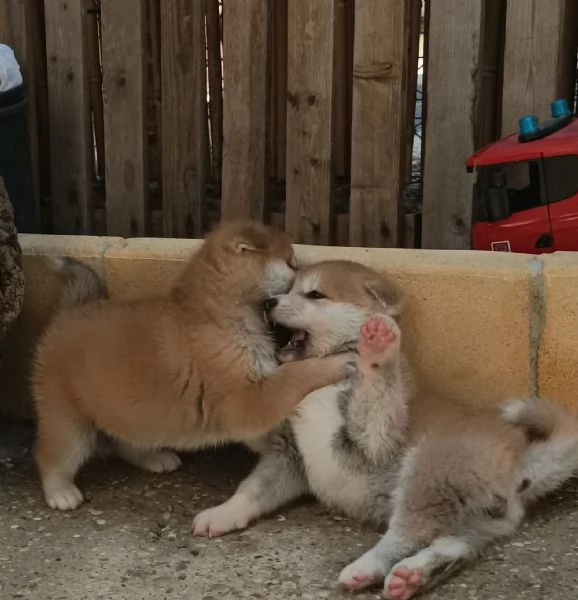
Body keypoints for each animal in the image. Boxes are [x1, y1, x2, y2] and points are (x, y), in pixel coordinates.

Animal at [192, 260, 576, 596]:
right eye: (288, 289)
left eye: (314, 294)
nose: (269, 302)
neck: (324, 376)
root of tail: (521, 460)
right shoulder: (289, 455)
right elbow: (251, 490)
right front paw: (222, 513)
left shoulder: (372, 441)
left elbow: (376, 394)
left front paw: (377, 351)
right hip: (475, 518)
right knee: (451, 546)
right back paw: (412, 576)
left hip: (429, 471)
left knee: (406, 535)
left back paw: (367, 567)